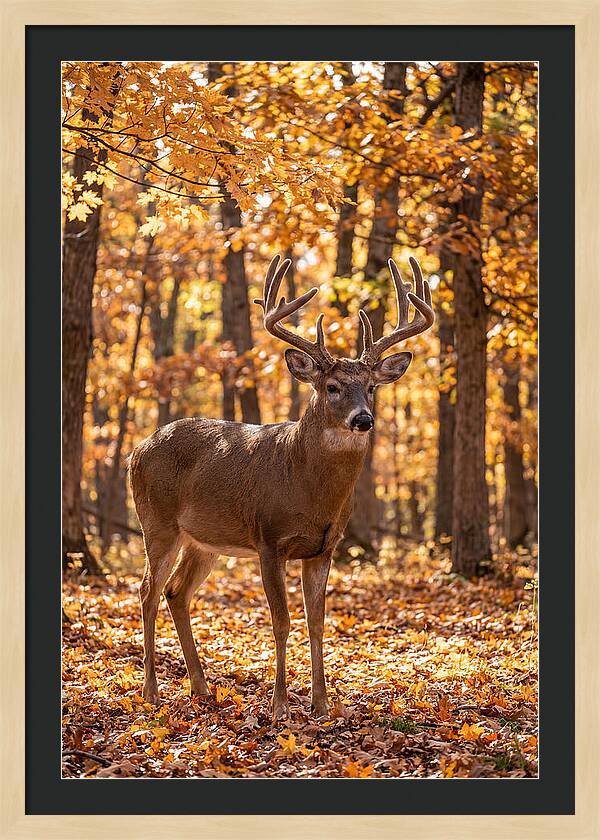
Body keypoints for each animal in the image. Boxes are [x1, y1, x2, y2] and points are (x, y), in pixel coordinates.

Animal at [130, 254, 434, 719]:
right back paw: (151, 692)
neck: (307, 488)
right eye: (332, 386)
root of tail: (137, 450)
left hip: (204, 540)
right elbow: (281, 621)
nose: (363, 419)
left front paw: (322, 704)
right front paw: (279, 707)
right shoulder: (269, 539)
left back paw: (201, 687)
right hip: (157, 522)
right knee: (147, 590)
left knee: (176, 592)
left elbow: (316, 622)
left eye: (371, 387)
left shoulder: (324, 548)